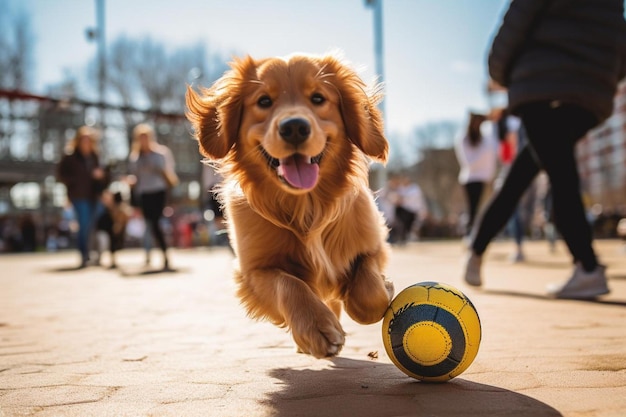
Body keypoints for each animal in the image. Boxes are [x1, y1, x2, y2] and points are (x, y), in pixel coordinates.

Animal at [183, 52, 392, 358]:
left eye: (318, 98)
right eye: (264, 101)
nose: (294, 127)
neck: (306, 208)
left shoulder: (373, 244)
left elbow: (369, 292)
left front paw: (384, 290)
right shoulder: (254, 271)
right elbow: (290, 284)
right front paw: (317, 328)